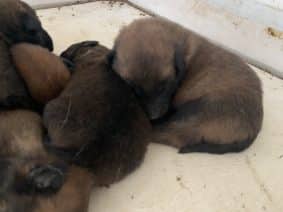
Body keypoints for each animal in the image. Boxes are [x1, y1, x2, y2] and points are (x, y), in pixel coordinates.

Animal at [111, 17, 264, 154]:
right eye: (134, 89)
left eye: (165, 86)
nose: (154, 116)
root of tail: (254, 129)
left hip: (197, 110)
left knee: (170, 135)